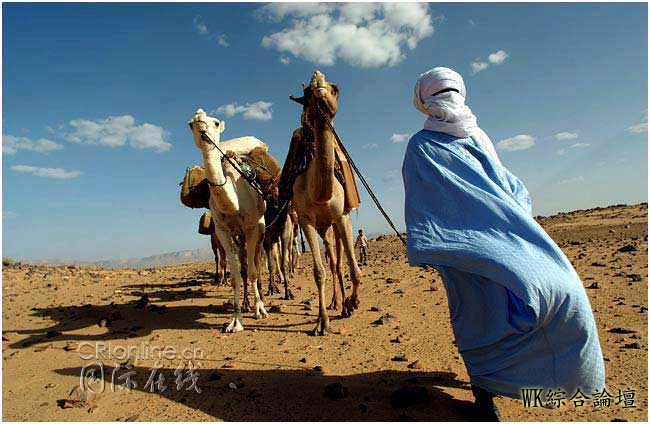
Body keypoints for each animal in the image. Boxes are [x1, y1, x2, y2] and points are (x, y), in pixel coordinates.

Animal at [187, 108, 268, 332]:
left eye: (215, 122)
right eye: (191, 123)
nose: (202, 126)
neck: (233, 202)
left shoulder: (251, 228)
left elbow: (253, 272)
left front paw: (259, 310)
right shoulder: (222, 232)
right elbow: (235, 277)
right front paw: (235, 320)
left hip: (260, 229)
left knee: (256, 262)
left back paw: (260, 302)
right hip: (238, 236)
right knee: (243, 263)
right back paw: (247, 303)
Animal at [284, 70, 364, 334]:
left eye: (335, 88)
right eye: (307, 93)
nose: (317, 77)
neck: (320, 193)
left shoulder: (342, 216)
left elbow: (354, 269)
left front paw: (354, 302)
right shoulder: (306, 220)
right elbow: (319, 272)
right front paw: (321, 322)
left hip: (337, 224)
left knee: (340, 262)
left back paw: (344, 304)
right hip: (324, 229)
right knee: (333, 262)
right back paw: (335, 303)